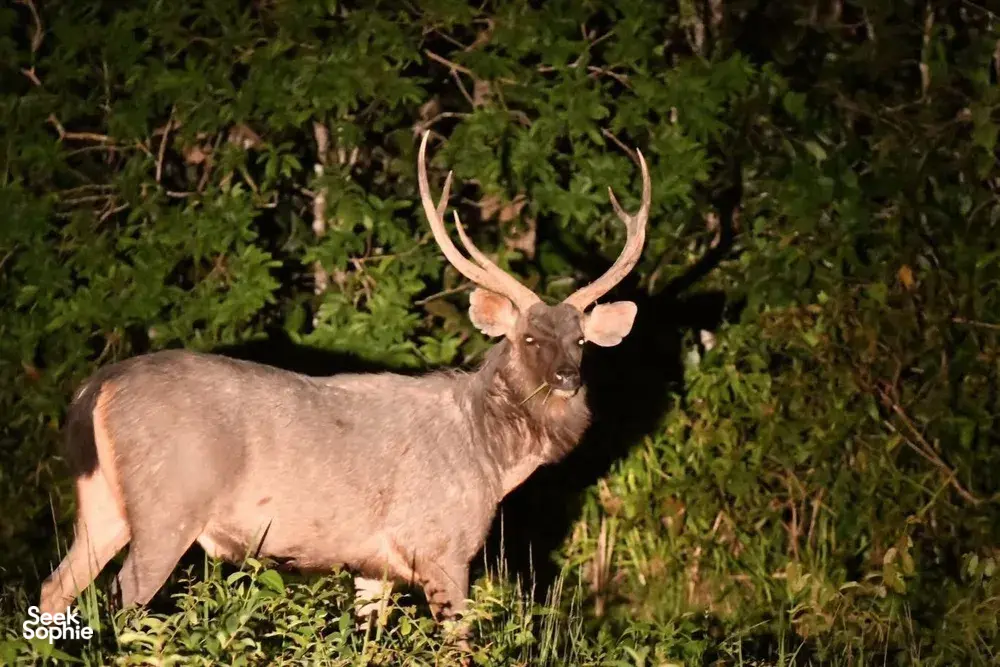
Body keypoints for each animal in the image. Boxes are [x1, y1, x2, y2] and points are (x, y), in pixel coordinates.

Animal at [39, 130, 651, 637]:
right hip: (168, 503)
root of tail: (96, 388)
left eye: (580, 340)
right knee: (126, 597)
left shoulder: (372, 566)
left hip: (102, 502)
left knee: (55, 588)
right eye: (528, 338)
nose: (567, 378)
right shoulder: (442, 545)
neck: (490, 457)